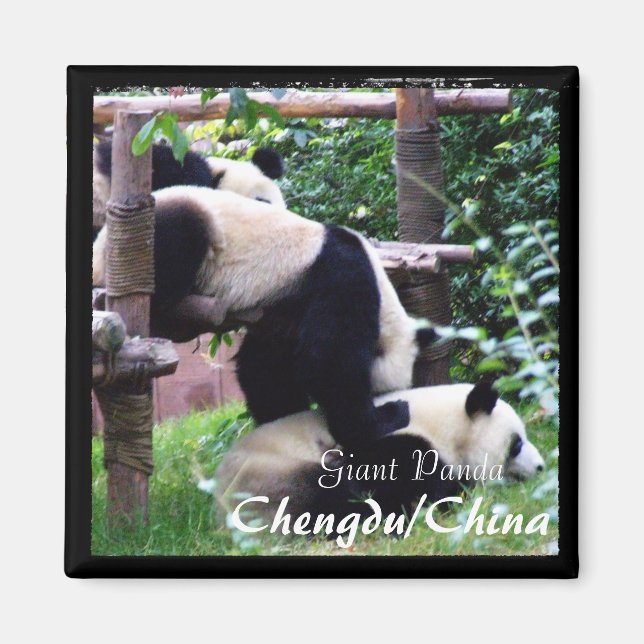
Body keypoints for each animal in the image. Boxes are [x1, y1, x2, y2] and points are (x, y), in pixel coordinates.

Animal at [93, 186, 435, 451]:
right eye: (379, 394)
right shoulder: (340, 277)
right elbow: (329, 361)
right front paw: (382, 420)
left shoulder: (283, 314)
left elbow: (265, 366)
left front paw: (282, 420)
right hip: (166, 229)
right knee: (179, 237)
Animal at [214, 382, 546, 521]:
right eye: (516, 444)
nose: (542, 467)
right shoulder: (397, 445)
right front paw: (457, 491)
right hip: (270, 480)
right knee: (328, 500)